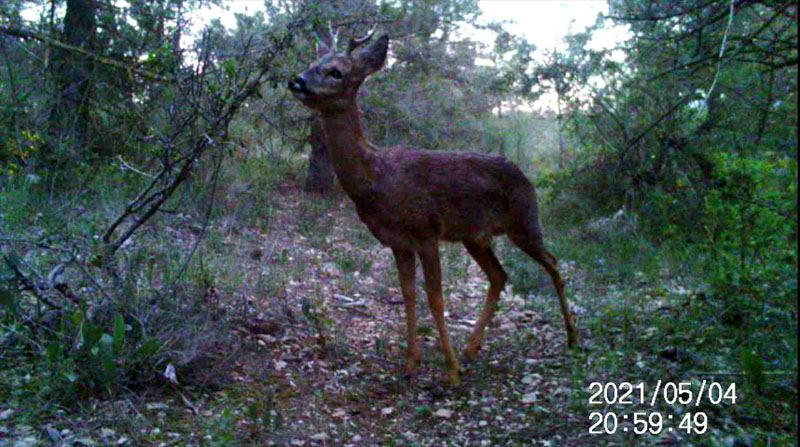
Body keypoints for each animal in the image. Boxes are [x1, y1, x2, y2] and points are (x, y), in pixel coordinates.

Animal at [290, 28, 580, 384]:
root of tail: (524, 175)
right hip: (476, 236)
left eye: (336, 72)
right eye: (311, 63)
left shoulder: (426, 231)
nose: (297, 81)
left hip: (525, 220)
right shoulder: (398, 242)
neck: (378, 179)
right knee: (500, 275)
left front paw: (451, 372)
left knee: (553, 264)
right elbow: (408, 295)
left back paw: (572, 338)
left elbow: (436, 298)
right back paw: (472, 347)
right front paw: (410, 364)